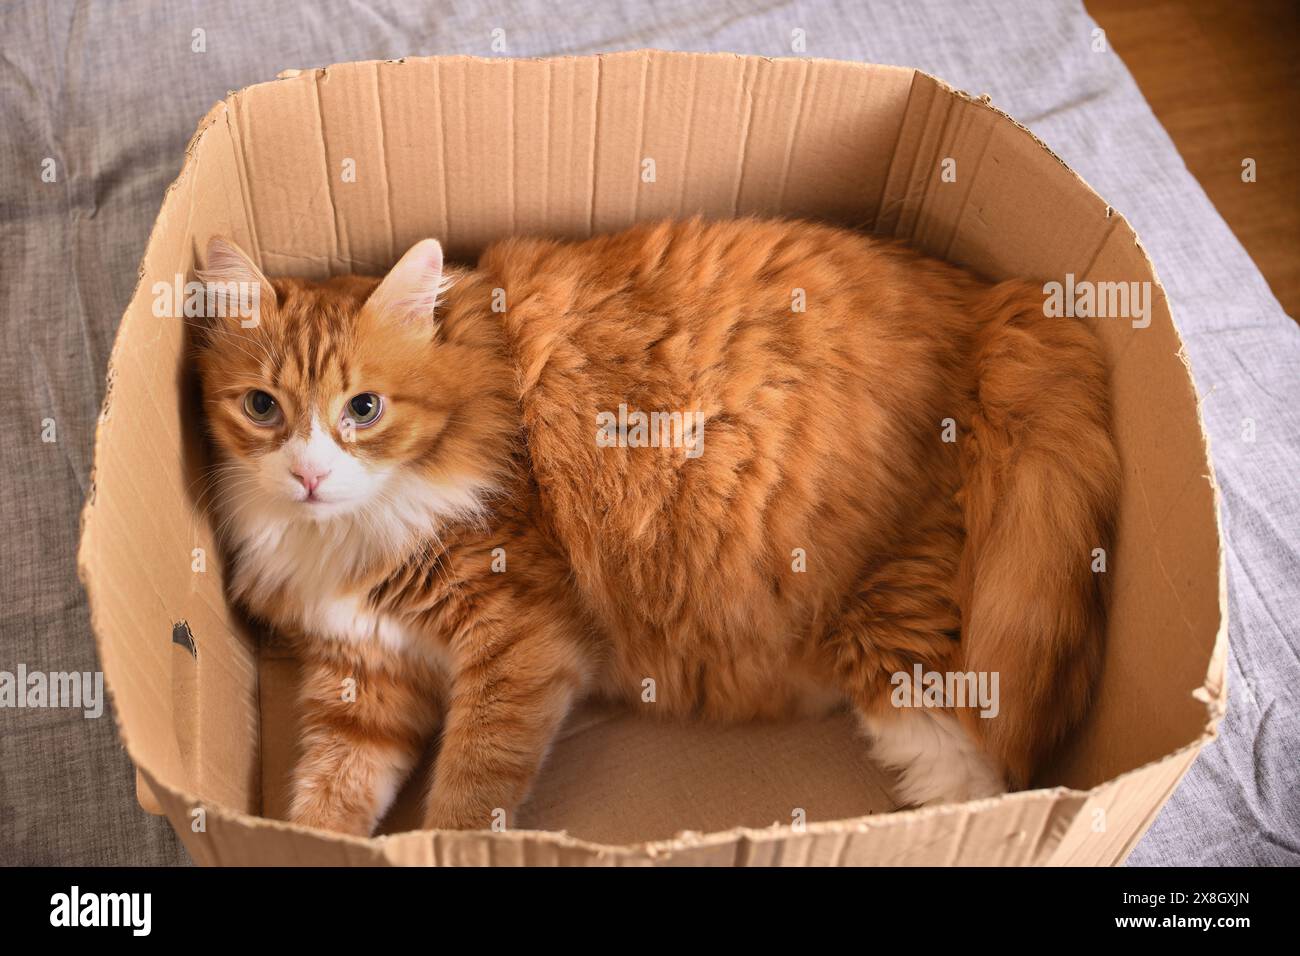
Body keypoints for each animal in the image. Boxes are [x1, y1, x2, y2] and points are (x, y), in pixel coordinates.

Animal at [189, 218, 1118, 837]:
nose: (309, 476)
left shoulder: (519, 637)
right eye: (263, 408)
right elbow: (329, 794)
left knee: (981, 779)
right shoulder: (364, 677)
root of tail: (993, 305)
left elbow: (468, 792)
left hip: (895, 639)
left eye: (364, 409)